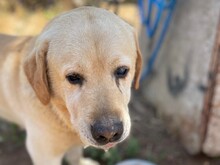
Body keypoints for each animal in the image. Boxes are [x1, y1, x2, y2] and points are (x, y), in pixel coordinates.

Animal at [0, 6, 142, 165]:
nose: (109, 133)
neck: (60, 114)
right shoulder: (44, 155)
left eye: (122, 71)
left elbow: (75, 155)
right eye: (73, 77)